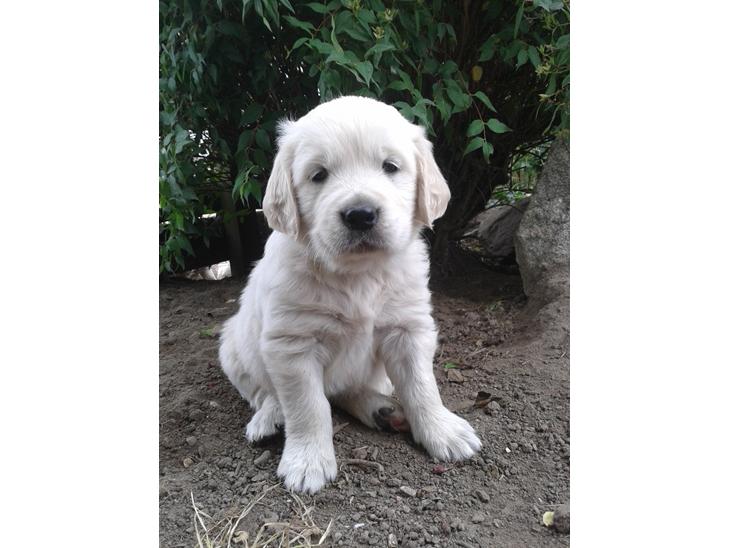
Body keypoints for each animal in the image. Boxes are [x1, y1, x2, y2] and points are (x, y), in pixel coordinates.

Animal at [219, 96, 481, 493]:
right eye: (319, 175)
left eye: (390, 167)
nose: (360, 214)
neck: (359, 274)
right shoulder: (291, 343)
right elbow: (308, 406)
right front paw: (307, 462)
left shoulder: (408, 329)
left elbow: (422, 386)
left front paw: (443, 431)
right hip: (233, 345)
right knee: (265, 392)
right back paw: (269, 417)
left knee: (347, 389)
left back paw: (382, 409)